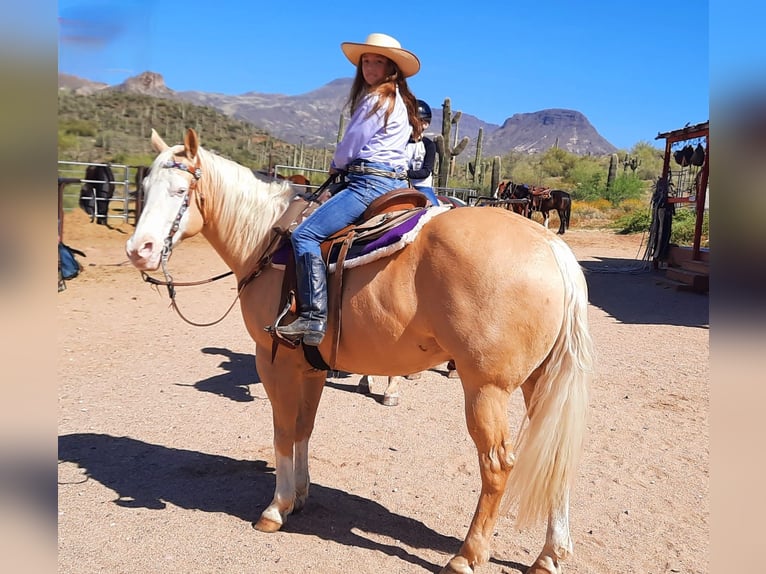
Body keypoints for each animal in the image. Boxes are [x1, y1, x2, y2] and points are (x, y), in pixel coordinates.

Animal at [126, 128, 593, 574]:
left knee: (497, 464)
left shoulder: (273, 362)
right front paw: (301, 494)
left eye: (181, 191)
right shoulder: (311, 368)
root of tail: (551, 247)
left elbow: (282, 431)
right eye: (144, 186)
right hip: (539, 383)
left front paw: (277, 507)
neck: (267, 241)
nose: (138, 250)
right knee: (556, 459)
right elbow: (303, 428)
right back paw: (550, 555)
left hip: (486, 389)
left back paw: (468, 556)